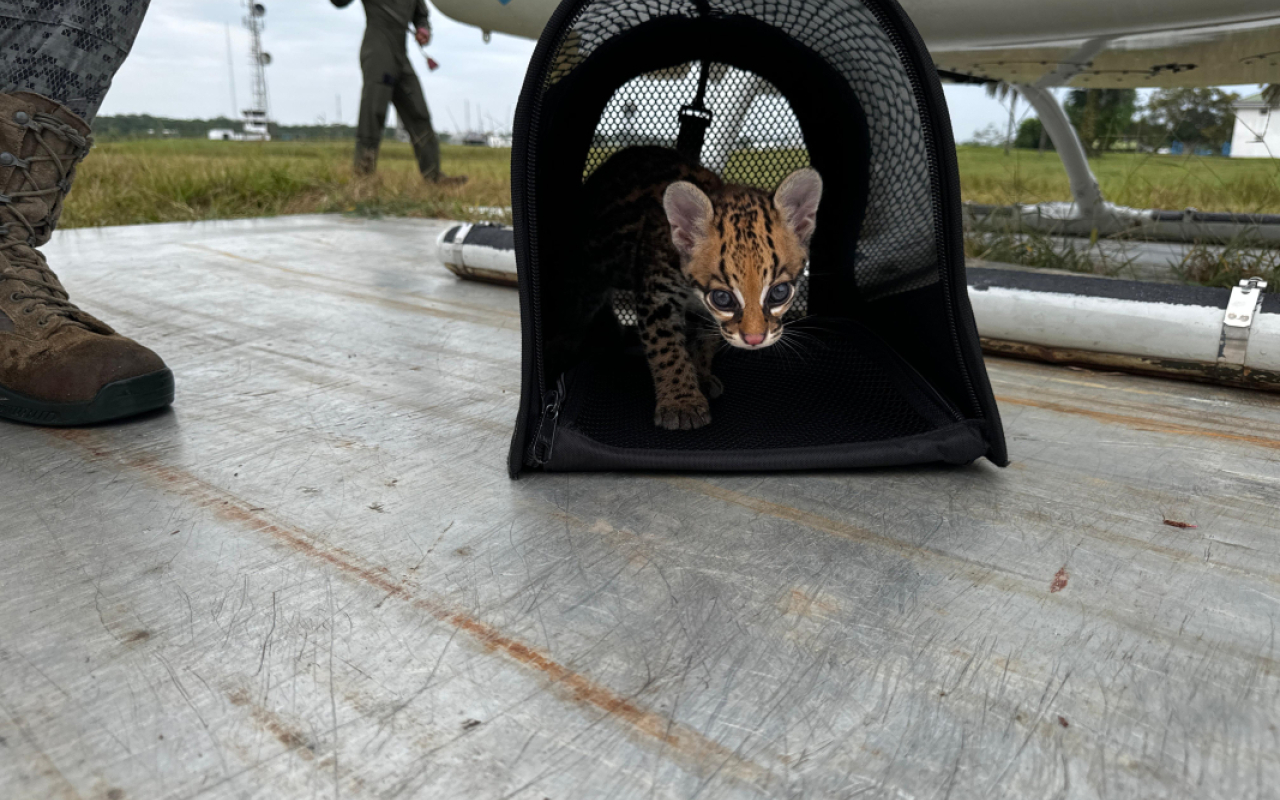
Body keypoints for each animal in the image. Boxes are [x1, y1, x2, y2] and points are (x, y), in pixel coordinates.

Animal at [578, 143, 819, 430]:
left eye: (779, 293)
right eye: (723, 298)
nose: (754, 340)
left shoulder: (704, 312)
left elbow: (705, 339)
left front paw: (700, 375)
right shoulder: (656, 295)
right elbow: (666, 346)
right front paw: (681, 402)